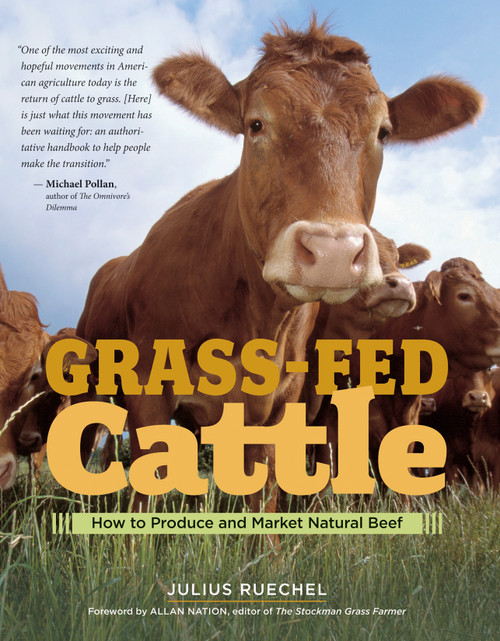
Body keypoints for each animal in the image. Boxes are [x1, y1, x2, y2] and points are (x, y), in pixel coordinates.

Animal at [74, 17, 482, 513]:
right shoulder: (149, 390)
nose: (333, 251)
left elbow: (264, 495)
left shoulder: (283, 403)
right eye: (256, 124)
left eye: (383, 132)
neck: (251, 322)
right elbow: (143, 497)